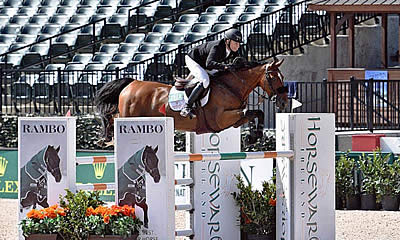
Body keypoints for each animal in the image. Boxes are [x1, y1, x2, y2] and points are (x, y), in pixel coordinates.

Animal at [96, 59, 288, 143]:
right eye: (273, 77)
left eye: (283, 76)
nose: (284, 102)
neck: (231, 86)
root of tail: (132, 83)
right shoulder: (220, 119)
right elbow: (251, 111)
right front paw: (254, 136)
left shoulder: (234, 121)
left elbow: (256, 113)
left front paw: (254, 136)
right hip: (128, 116)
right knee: (113, 119)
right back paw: (106, 136)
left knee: (112, 118)